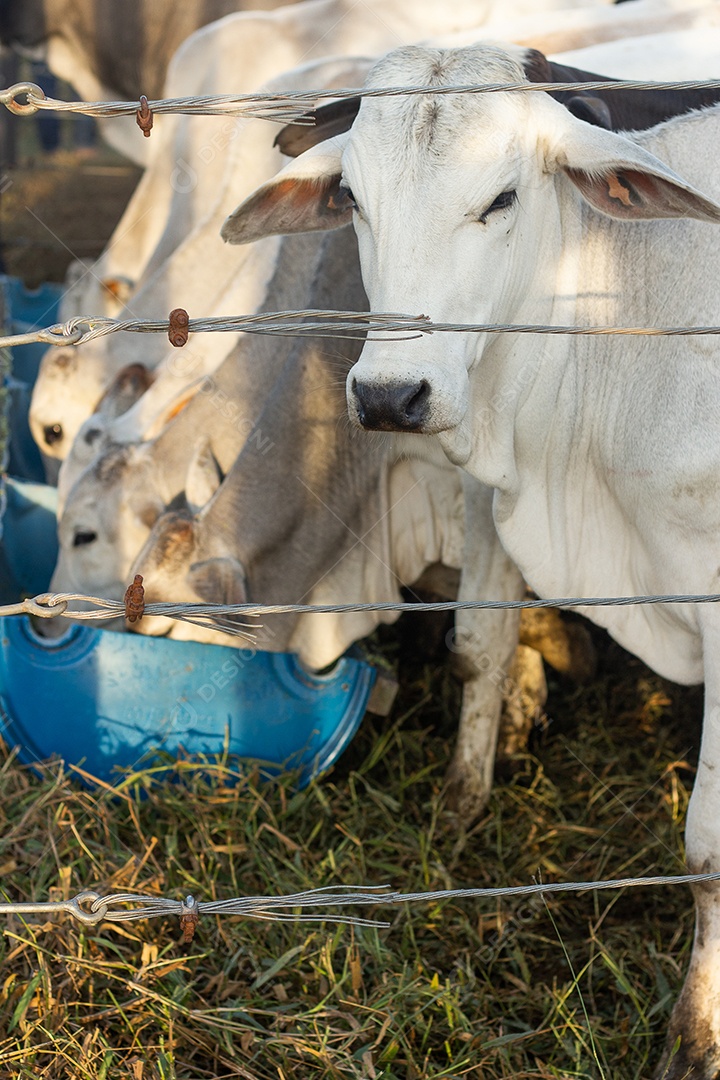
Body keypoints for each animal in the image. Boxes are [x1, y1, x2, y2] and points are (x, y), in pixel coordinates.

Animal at [218, 44, 720, 1080]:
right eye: (354, 199)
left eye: (501, 199)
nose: (389, 393)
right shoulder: (493, 497)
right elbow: (475, 652)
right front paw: (459, 812)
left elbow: (706, 850)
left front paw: (695, 1033)